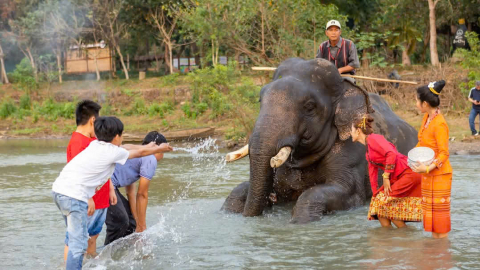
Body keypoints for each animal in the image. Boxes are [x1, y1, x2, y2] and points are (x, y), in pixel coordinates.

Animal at [223, 57, 418, 224]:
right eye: (260, 100)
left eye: (309, 106)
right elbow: (242, 190)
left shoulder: (353, 154)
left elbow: (342, 192)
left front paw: (299, 221)